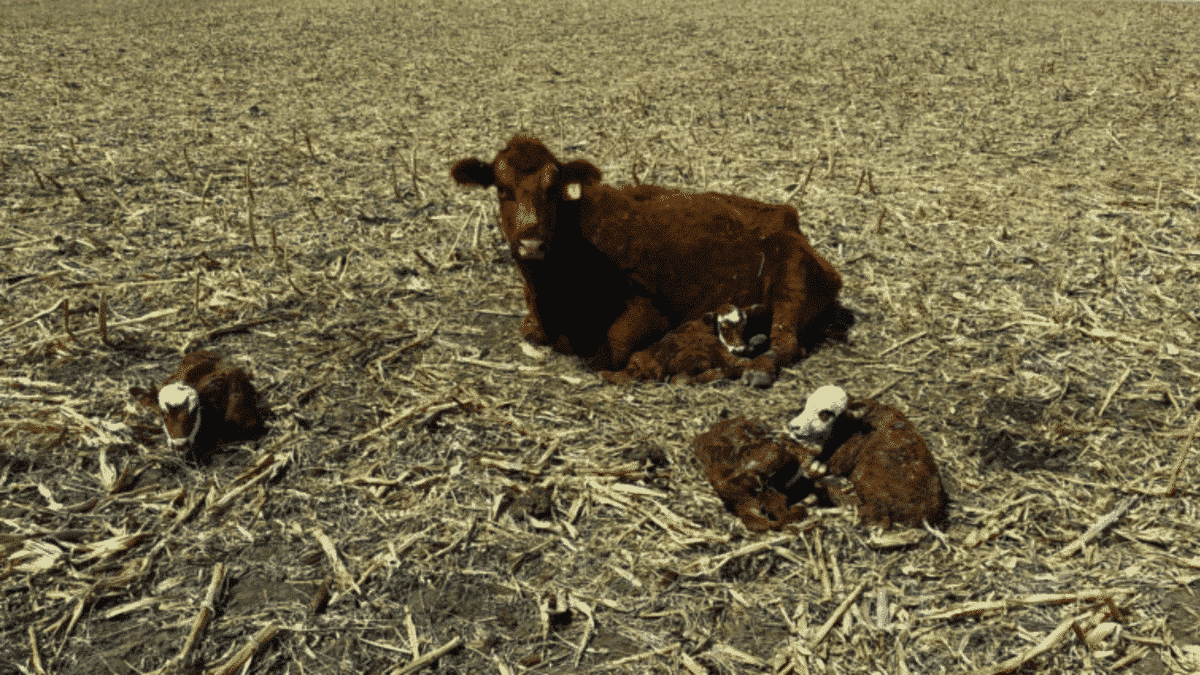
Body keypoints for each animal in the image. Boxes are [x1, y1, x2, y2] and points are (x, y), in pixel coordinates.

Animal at [451, 135, 842, 387]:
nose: (531, 242)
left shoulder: (651, 311)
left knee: (786, 341)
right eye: (502, 189)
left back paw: (757, 365)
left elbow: (611, 350)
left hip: (793, 279)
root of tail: (787, 216)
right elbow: (530, 330)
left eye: (552, 190)